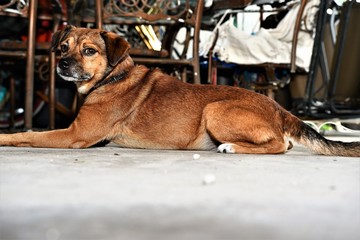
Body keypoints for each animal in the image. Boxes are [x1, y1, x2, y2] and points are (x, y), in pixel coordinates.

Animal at [0, 25, 358, 158]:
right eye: (63, 47)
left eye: (89, 51)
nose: (62, 64)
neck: (113, 77)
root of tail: (278, 108)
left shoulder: (74, 135)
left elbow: (28, 133)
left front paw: (5, 137)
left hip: (215, 110)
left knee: (280, 145)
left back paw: (230, 147)